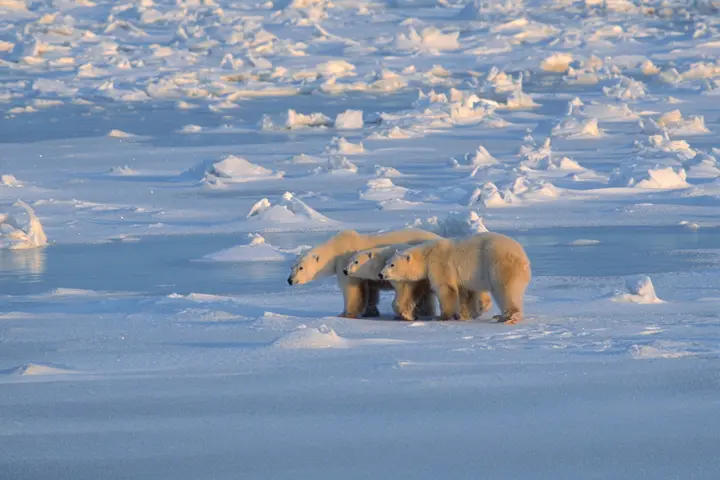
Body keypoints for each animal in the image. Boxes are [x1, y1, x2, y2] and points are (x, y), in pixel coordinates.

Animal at [287, 228, 443, 318]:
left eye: (301, 268)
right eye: (291, 267)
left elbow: (351, 289)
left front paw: (345, 314)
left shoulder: (345, 261)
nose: (289, 280)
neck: (335, 249)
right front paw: (371, 311)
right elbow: (370, 291)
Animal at [379, 232, 531, 324]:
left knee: (505, 290)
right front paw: (464, 315)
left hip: (499, 265)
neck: (426, 254)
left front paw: (442, 317)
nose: (381, 274)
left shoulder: (440, 264)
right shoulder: (464, 277)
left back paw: (509, 316)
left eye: (392, 264)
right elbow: (465, 293)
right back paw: (502, 315)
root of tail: (524, 259)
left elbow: (446, 288)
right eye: (386, 262)